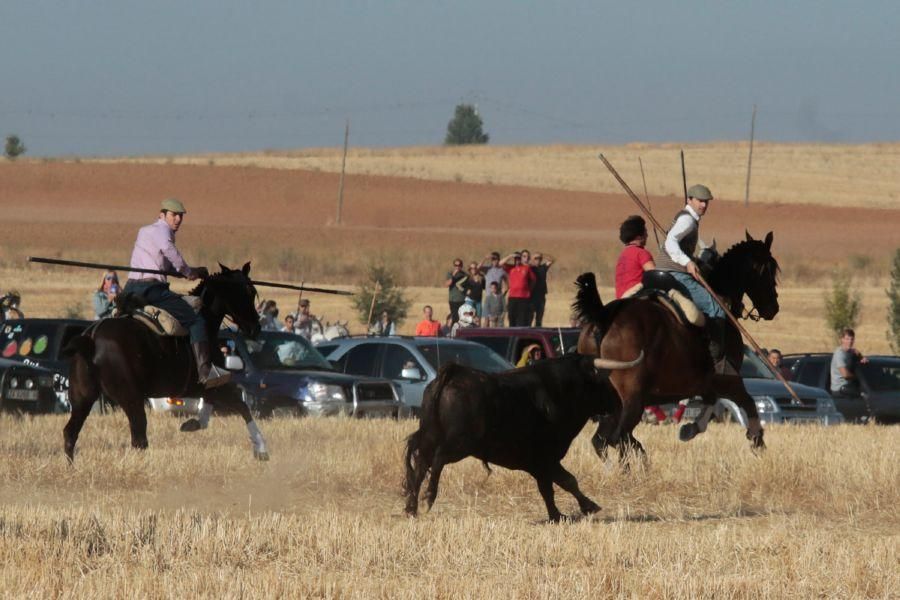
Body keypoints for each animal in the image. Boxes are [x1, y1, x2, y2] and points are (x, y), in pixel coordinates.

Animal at [63, 264, 268, 464]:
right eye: (248, 292)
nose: (256, 328)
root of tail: (92, 337)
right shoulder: (211, 382)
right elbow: (241, 405)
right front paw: (261, 450)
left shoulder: (207, 386)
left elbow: (211, 406)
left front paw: (192, 424)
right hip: (131, 399)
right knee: (139, 438)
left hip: (83, 398)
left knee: (70, 433)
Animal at [404, 352, 644, 520]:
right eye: (601, 380)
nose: (618, 401)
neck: (559, 391)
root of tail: (453, 373)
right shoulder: (546, 457)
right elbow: (565, 482)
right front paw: (585, 507)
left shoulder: (539, 463)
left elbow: (554, 485)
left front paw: (559, 514)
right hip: (459, 444)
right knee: (437, 460)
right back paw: (428, 498)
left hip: (431, 438)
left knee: (421, 466)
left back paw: (411, 508)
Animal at [576, 232, 780, 458]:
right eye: (769, 269)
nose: (773, 308)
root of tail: (602, 317)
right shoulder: (728, 378)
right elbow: (748, 402)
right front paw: (756, 438)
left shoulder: (705, 383)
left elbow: (711, 401)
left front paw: (690, 428)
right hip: (631, 400)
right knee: (617, 437)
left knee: (603, 440)